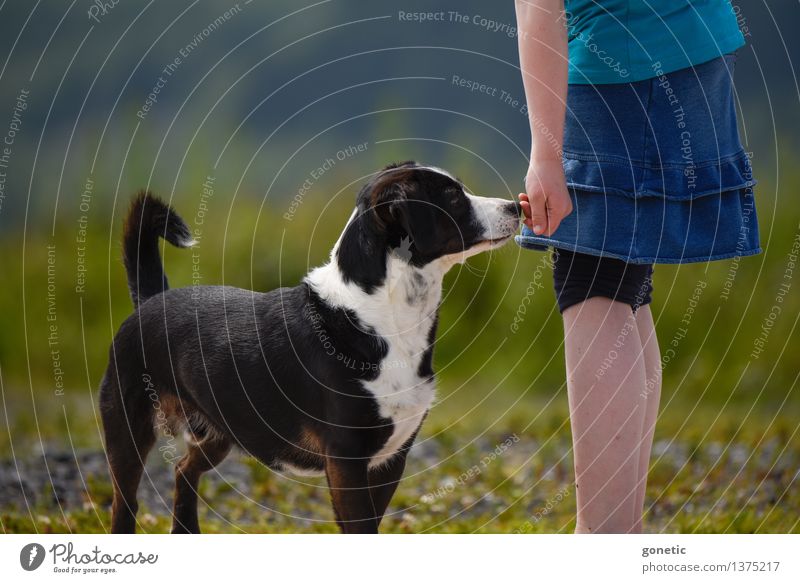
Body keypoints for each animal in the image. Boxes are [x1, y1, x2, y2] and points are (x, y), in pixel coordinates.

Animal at [98, 161, 520, 532]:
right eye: (452, 196)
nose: (516, 206)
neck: (380, 317)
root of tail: (152, 298)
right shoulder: (347, 460)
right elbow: (361, 530)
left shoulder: (390, 460)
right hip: (128, 428)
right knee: (125, 501)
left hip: (221, 430)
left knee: (183, 470)